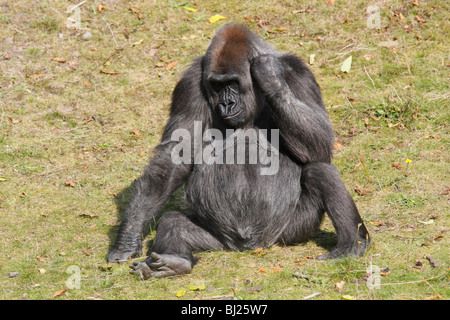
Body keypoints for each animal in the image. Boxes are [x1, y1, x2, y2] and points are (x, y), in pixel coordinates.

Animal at [107, 22, 370, 278]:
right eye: (217, 85)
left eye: (233, 83)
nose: (227, 103)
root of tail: (250, 245)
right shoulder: (190, 84)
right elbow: (175, 157)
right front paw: (128, 238)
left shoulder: (298, 73)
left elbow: (320, 141)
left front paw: (271, 76)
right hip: (218, 240)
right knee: (173, 222)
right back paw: (175, 262)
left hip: (289, 231)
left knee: (319, 170)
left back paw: (352, 244)